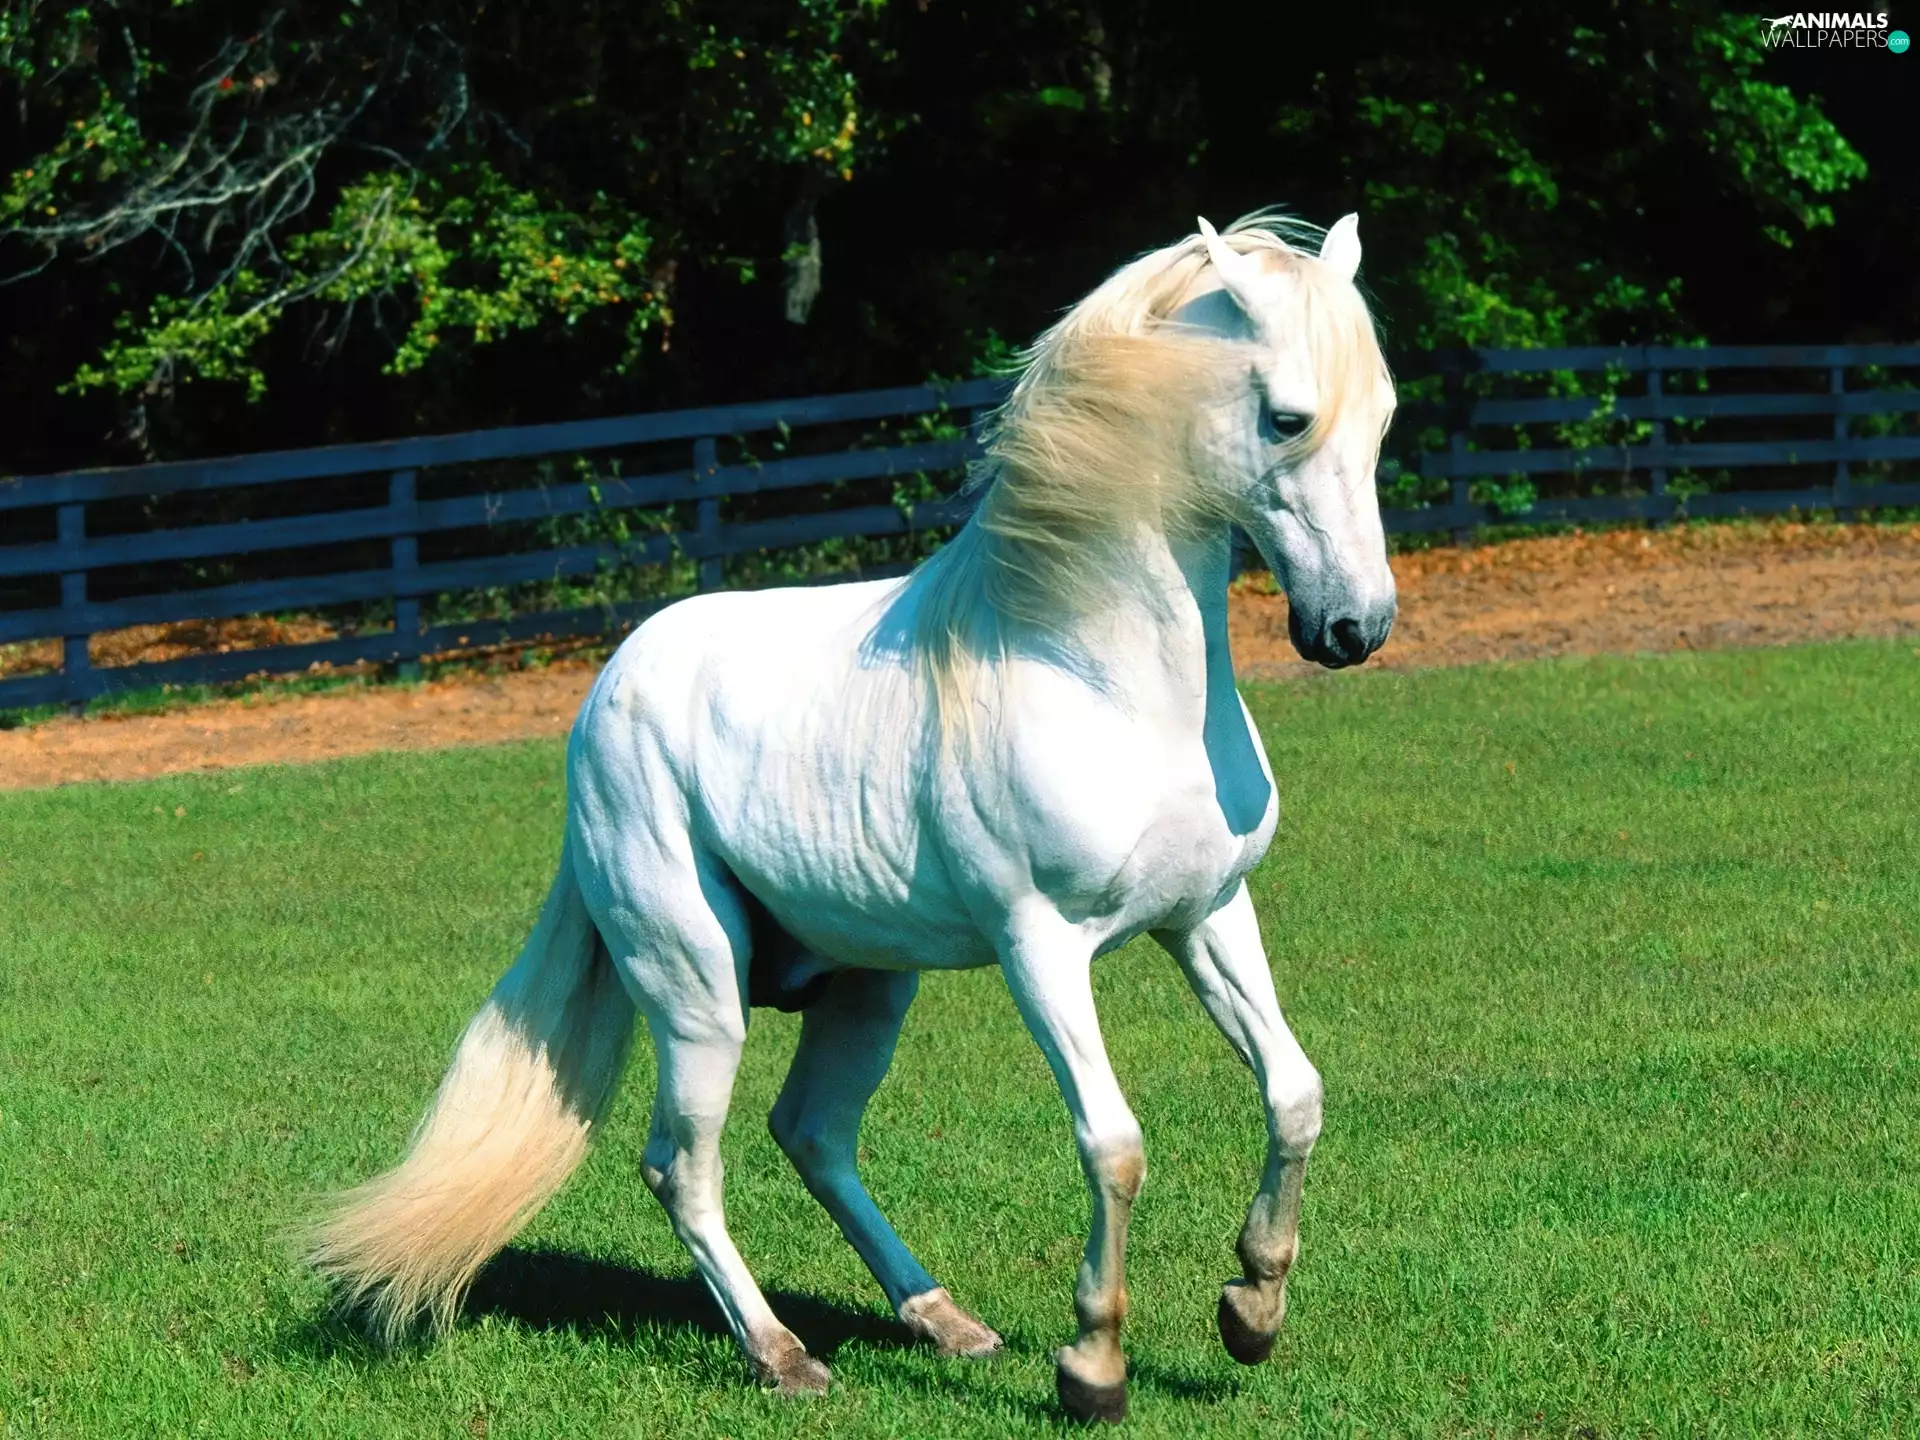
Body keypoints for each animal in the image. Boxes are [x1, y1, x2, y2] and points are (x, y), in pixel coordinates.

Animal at [305, 210, 1398, 1423]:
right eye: (1287, 417)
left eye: (1384, 413)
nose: (1354, 630)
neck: (1101, 680)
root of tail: (607, 692)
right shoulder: (1041, 947)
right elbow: (1112, 1143)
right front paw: (1093, 1369)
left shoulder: (1206, 914)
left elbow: (1294, 1095)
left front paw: (1250, 1313)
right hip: (696, 991)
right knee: (682, 1165)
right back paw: (782, 1356)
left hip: (870, 987)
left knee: (813, 1134)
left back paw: (946, 1323)